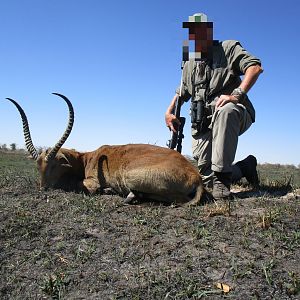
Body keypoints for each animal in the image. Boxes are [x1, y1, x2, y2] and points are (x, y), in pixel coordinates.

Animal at [5, 94, 204, 205]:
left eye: (54, 164)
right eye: (38, 165)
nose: (43, 188)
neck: (86, 158)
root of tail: (195, 175)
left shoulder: (91, 182)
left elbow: (81, 185)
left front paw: (105, 190)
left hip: (131, 176)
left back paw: (129, 196)